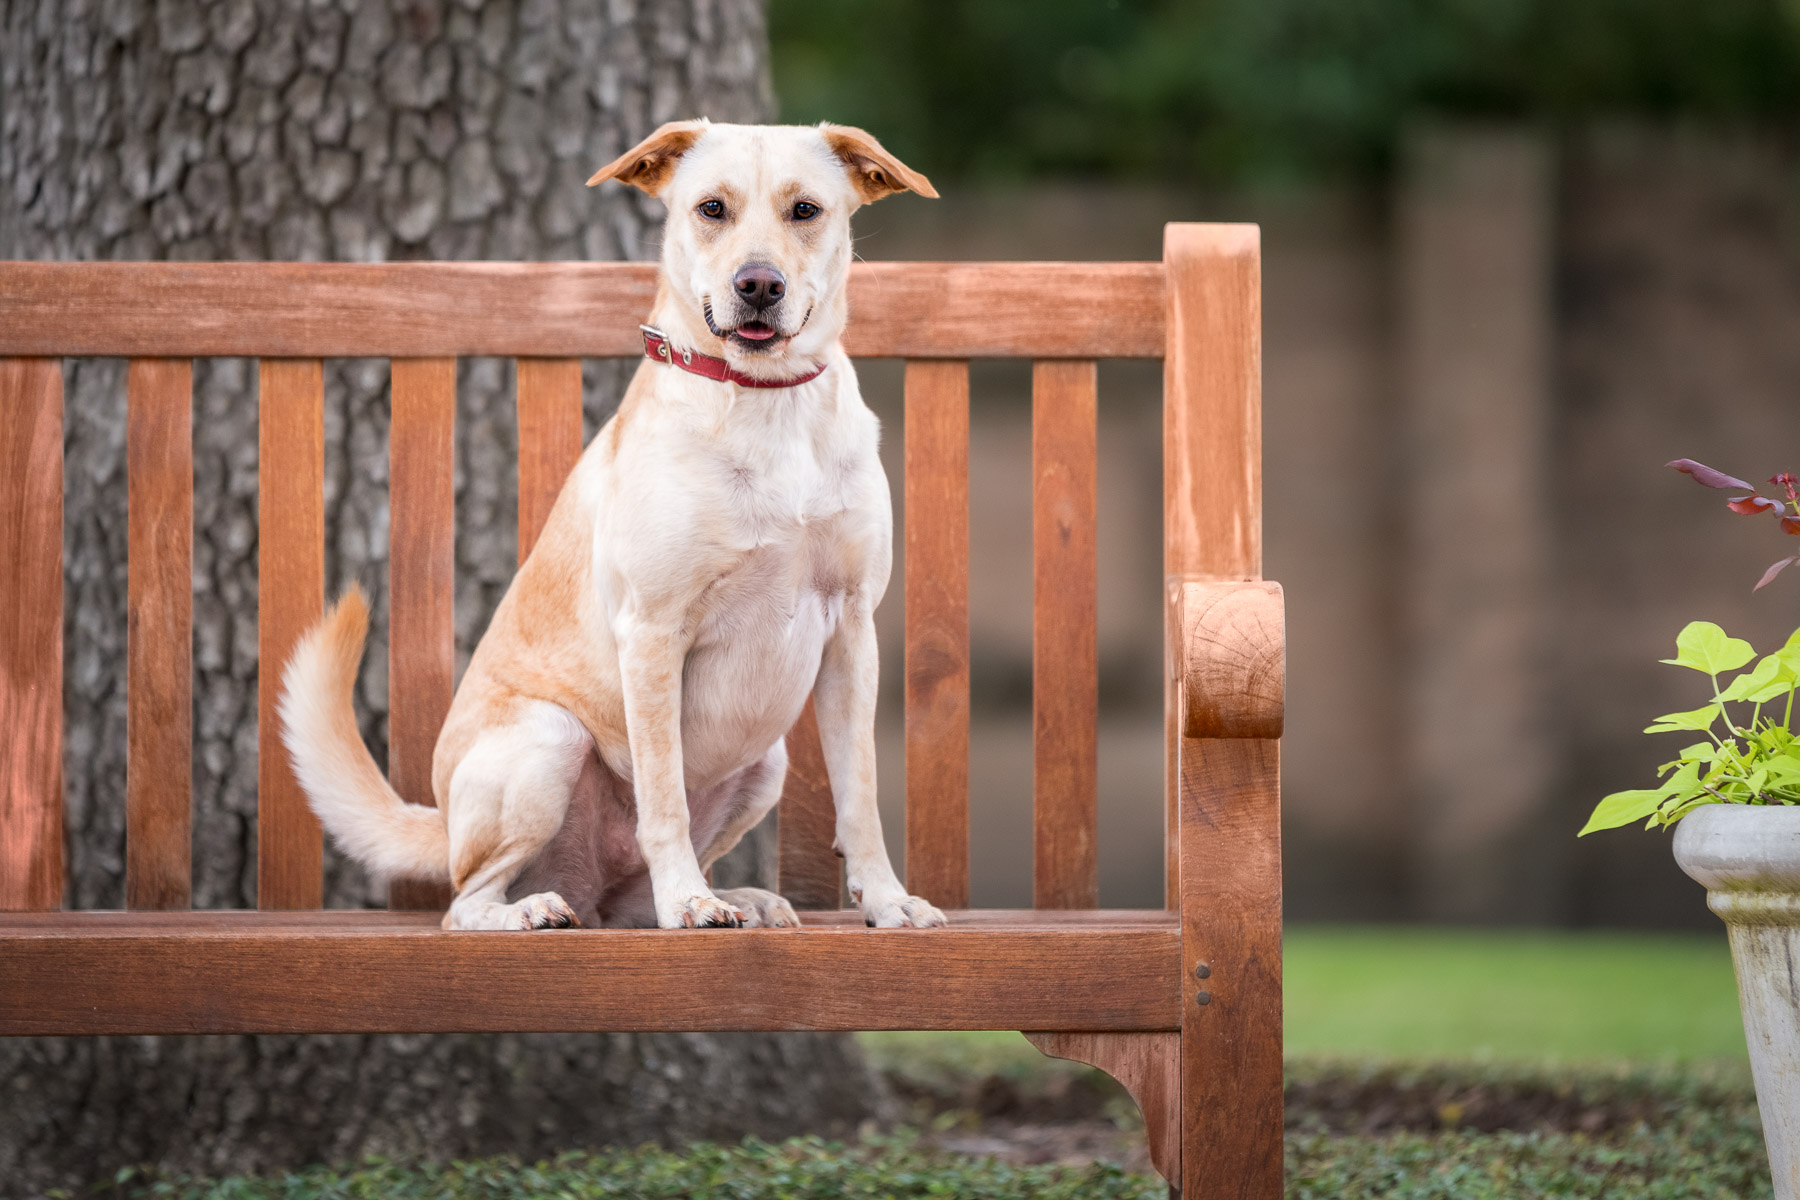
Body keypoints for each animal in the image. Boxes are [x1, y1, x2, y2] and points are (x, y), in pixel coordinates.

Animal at [275, 119, 950, 928]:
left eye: (806, 210)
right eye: (711, 207)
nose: (758, 285)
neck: (765, 402)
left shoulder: (851, 629)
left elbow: (861, 798)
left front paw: (886, 900)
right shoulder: (654, 633)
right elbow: (663, 798)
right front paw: (687, 901)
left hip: (767, 764)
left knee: (624, 901)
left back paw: (738, 897)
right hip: (548, 743)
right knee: (466, 900)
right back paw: (537, 910)